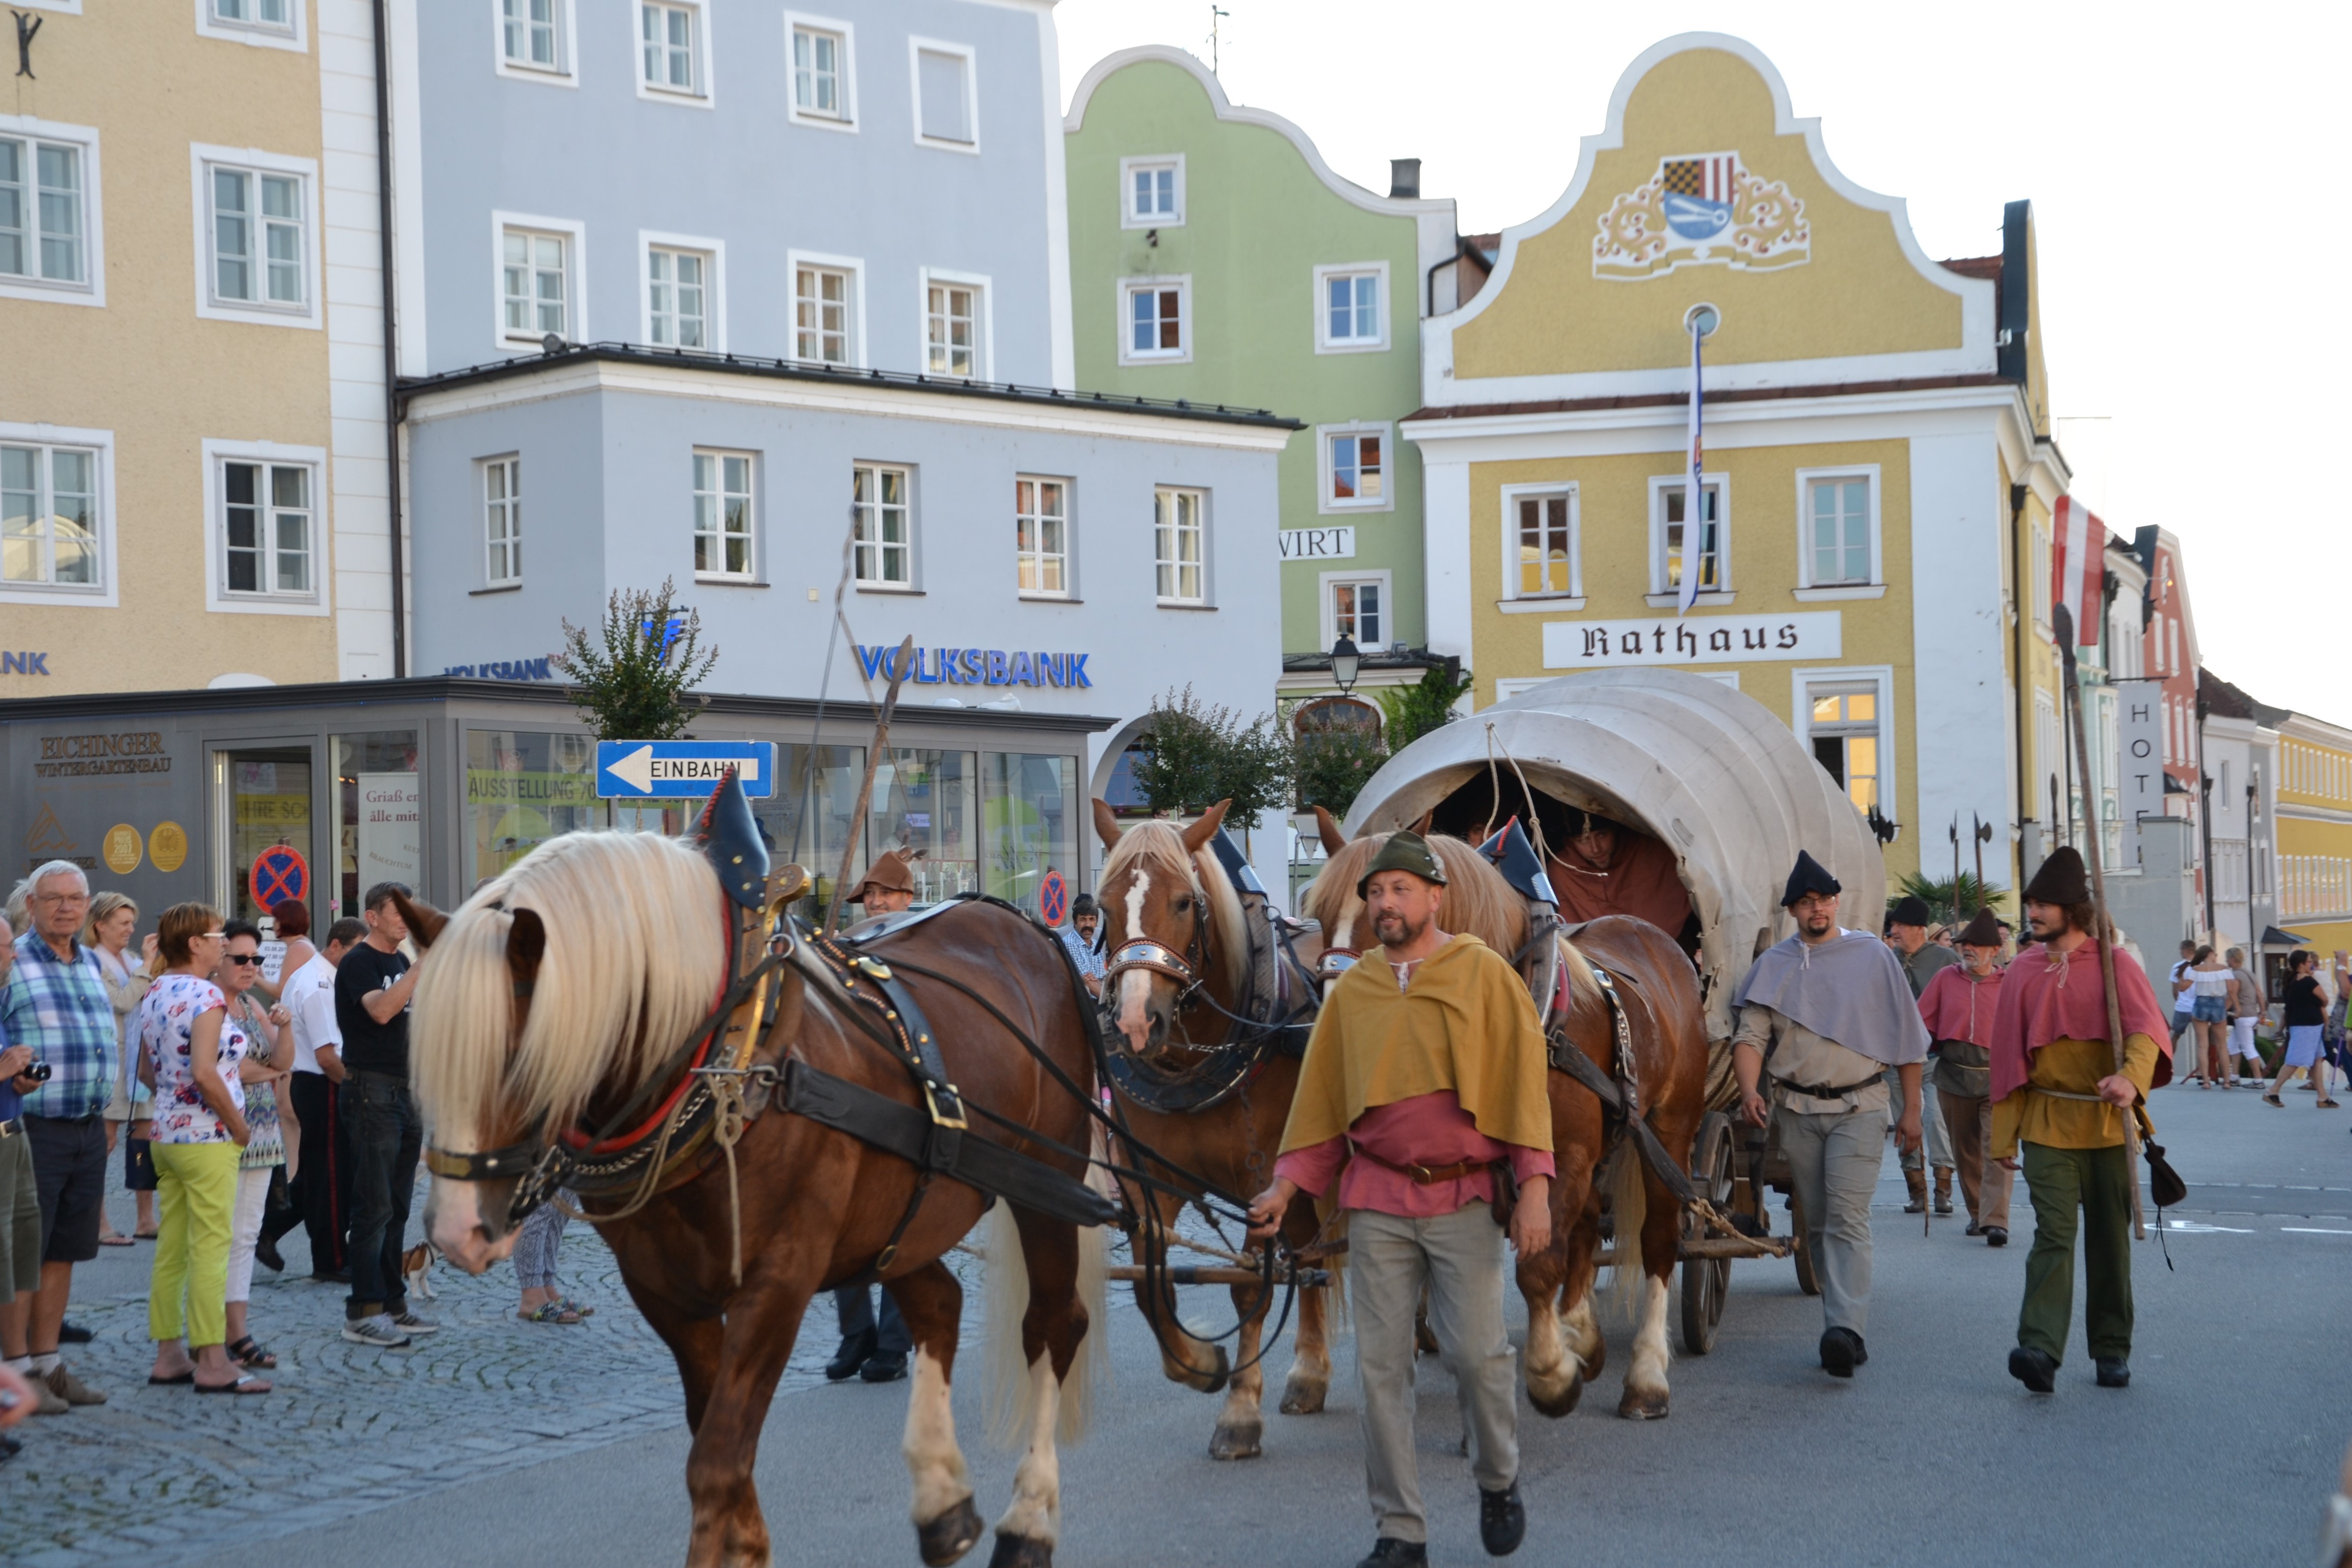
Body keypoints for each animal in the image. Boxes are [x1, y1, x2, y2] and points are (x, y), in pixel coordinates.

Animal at [402, 822, 1107, 1568]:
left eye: (518, 1058)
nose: (453, 1232)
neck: (730, 1063)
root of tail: (1025, 925)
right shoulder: (663, 1289)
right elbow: (716, 1444)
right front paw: (745, 1543)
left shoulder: (778, 1282)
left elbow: (715, 1461)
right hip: (899, 1220)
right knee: (940, 1305)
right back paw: (944, 1502)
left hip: (1047, 1181)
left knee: (1053, 1326)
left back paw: (1028, 1521)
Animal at [1087, 797, 1338, 1462]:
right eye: (1104, 906)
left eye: (1183, 902)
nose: (1136, 1022)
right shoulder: (1149, 1182)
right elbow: (1151, 1289)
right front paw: (1201, 1364)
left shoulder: (1261, 1180)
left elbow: (1250, 1288)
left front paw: (1239, 1413)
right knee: (1311, 1254)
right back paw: (1309, 1374)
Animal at [1303, 815, 1709, 1420]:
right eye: (1323, 914)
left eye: (1385, 913)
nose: (1335, 1038)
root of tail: (1655, 940)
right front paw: (1559, 1350)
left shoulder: (1565, 1155)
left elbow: (1538, 1266)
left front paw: (1550, 1374)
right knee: (1587, 1226)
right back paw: (1582, 1334)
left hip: (1670, 1129)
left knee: (1657, 1238)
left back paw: (1646, 1377)